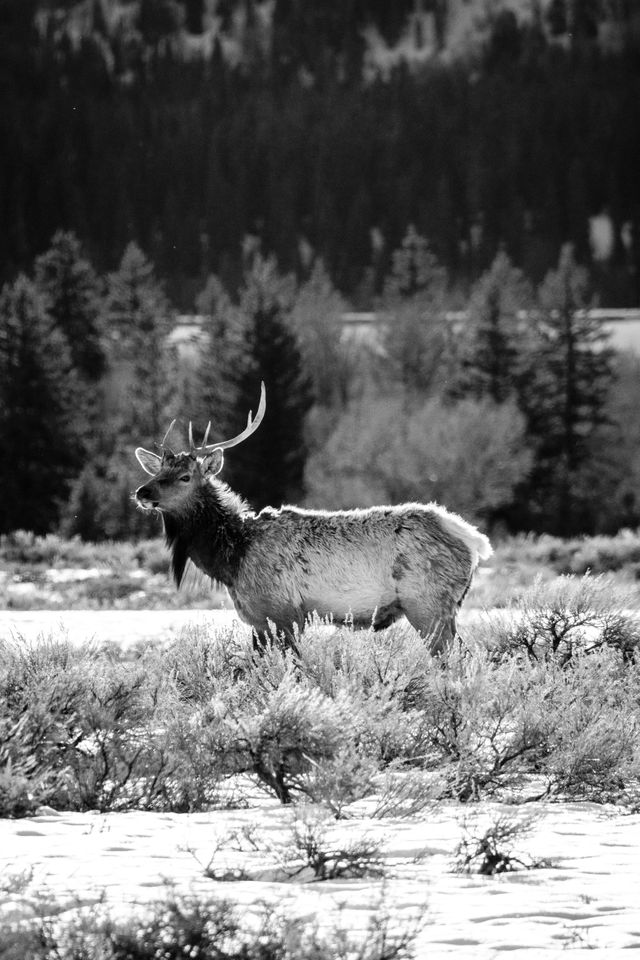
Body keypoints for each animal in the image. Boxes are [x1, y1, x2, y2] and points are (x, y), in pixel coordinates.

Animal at [135, 382, 490, 652]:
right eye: (158, 472)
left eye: (185, 477)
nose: (142, 492)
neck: (231, 559)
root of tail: (474, 540)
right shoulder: (259, 620)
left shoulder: (281, 611)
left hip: (427, 603)